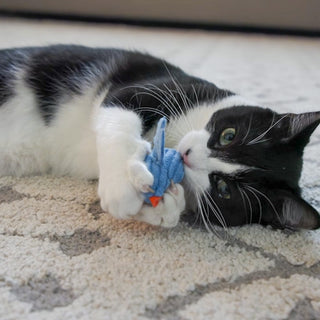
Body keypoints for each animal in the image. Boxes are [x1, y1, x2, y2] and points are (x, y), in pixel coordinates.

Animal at [0, 45, 320, 230]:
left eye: (224, 189)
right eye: (229, 135)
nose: (187, 156)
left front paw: (164, 205)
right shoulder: (154, 87)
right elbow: (118, 116)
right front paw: (120, 187)